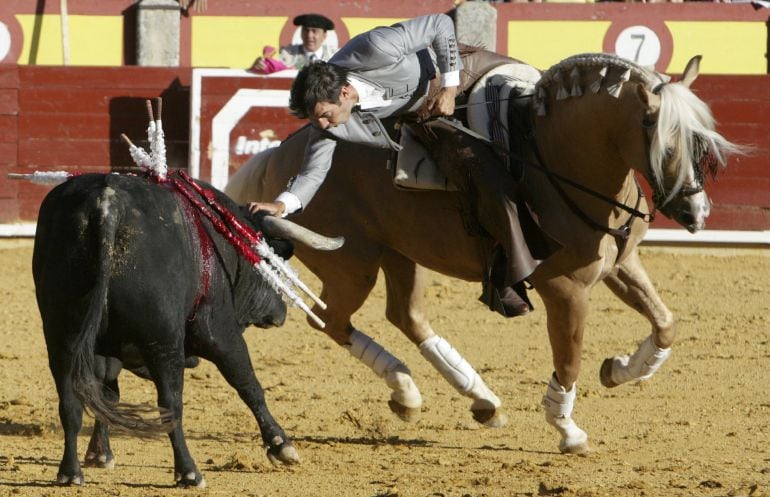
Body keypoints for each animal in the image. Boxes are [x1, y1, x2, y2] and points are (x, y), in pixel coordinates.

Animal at [31, 172, 310, 486]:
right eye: (270, 264)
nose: (281, 311)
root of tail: (107, 204)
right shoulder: (220, 332)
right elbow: (248, 384)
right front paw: (281, 445)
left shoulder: (104, 349)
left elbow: (106, 394)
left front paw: (100, 455)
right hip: (163, 339)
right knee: (171, 403)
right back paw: (189, 472)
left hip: (63, 333)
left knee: (70, 399)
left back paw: (70, 472)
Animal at [226, 54, 736, 454]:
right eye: (662, 136)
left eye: (701, 138)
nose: (697, 212)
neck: (556, 160)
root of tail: (280, 155)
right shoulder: (565, 289)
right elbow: (568, 357)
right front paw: (567, 428)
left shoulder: (620, 265)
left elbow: (665, 323)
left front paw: (619, 369)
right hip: (353, 266)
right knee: (330, 321)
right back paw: (408, 390)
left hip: (401, 254)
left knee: (405, 316)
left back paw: (479, 400)